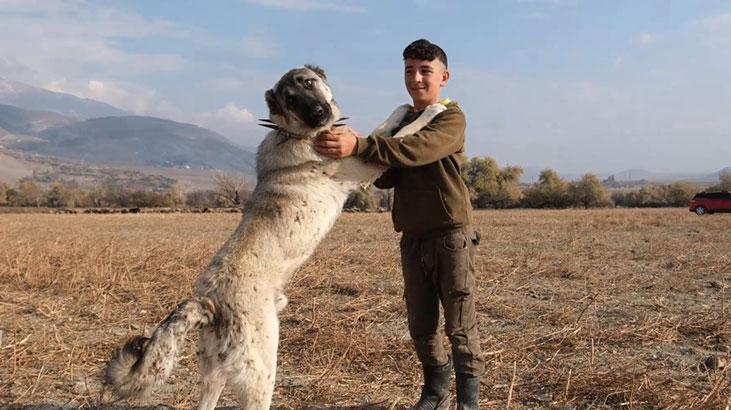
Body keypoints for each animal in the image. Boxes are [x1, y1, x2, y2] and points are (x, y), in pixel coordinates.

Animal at [103, 65, 446, 410]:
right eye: (290, 100)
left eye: (309, 83)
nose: (318, 113)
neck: (294, 132)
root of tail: (209, 301)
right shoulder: (365, 164)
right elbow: (399, 135)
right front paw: (432, 110)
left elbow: (382, 129)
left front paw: (404, 107)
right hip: (262, 372)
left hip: (214, 372)